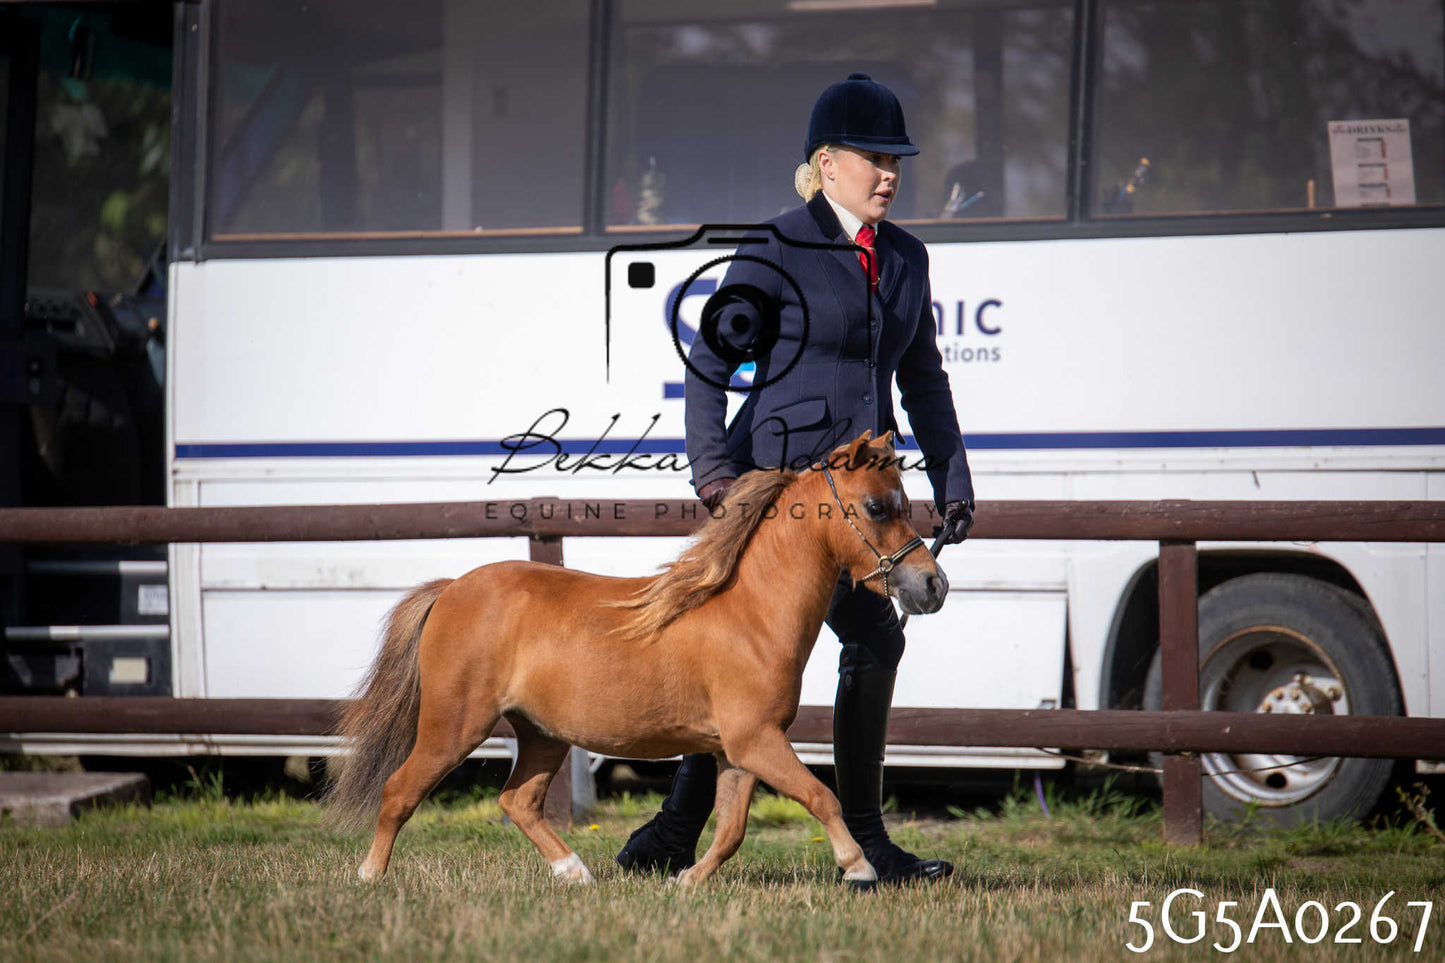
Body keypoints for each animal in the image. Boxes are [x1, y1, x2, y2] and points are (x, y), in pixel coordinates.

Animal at [324, 430, 949, 886]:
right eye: (876, 506)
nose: (932, 585)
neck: (750, 614)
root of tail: (452, 588)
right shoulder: (756, 741)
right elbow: (820, 796)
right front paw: (858, 867)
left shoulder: (738, 750)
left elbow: (732, 830)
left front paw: (686, 881)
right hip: (455, 724)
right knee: (399, 791)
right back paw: (369, 878)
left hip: (542, 733)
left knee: (517, 800)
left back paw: (576, 874)